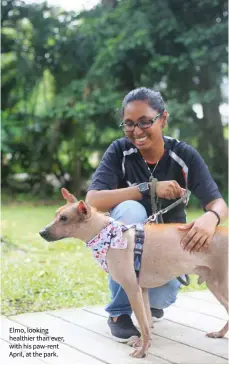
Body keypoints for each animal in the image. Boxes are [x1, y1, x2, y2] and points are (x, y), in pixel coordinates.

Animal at [39, 189, 229, 356]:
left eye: (64, 218)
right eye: (56, 215)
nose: (42, 232)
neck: (108, 235)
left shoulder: (132, 289)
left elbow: (143, 326)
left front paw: (143, 351)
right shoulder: (142, 291)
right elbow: (146, 322)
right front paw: (144, 344)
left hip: (220, 286)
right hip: (214, 285)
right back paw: (219, 333)